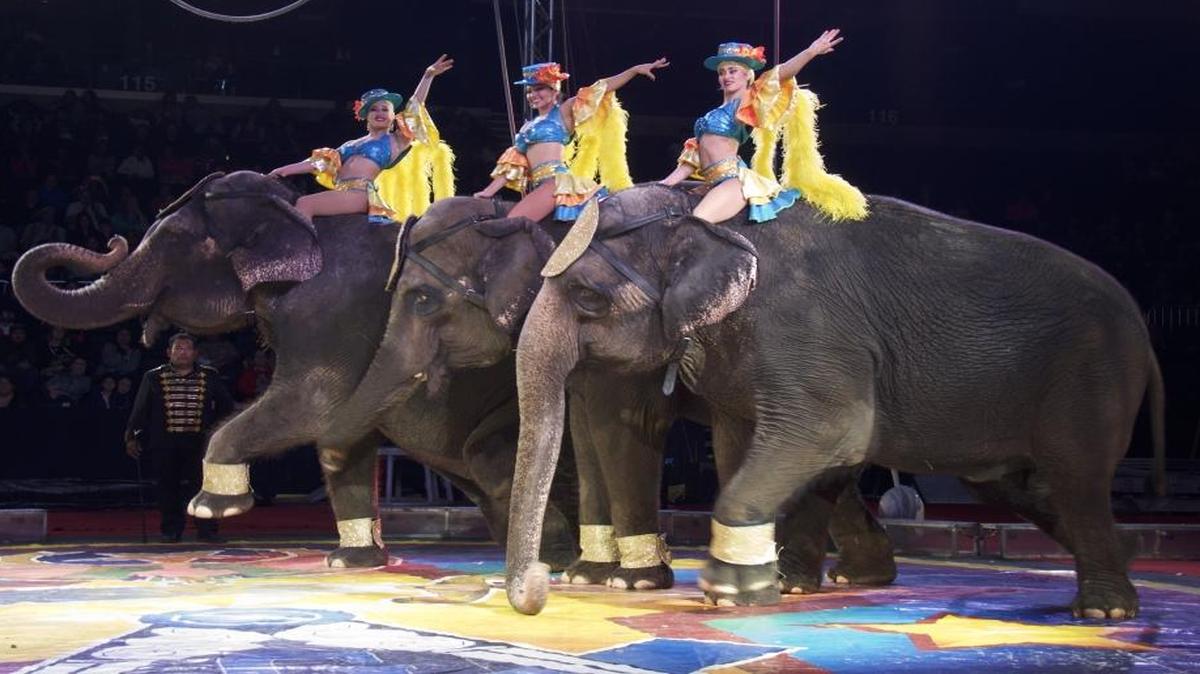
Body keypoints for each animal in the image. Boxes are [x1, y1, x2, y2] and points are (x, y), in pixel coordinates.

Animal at [12, 170, 578, 569]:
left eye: (171, 241)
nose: (111, 241)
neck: (297, 212)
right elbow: (345, 438)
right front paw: (351, 561)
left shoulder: (332, 316)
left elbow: (312, 406)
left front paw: (213, 506)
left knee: (489, 462)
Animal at [504, 184, 1165, 620]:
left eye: (587, 298)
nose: (540, 584)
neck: (705, 213)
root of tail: (1143, 325)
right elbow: (747, 445)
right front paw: (772, 585)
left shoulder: (801, 327)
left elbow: (829, 430)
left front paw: (726, 590)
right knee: (1032, 489)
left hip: (1091, 378)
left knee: (1076, 477)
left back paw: (1104, 611)